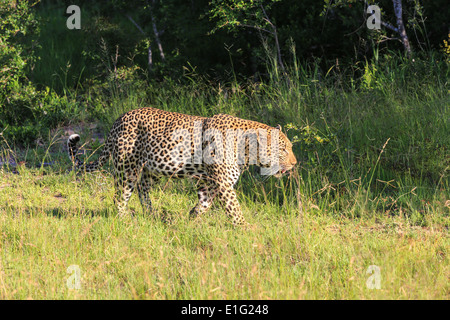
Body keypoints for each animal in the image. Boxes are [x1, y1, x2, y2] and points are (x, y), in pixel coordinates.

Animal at [67, 107, 296, 225]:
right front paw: (245, 230)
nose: (295, 164)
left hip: (153, 168)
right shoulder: (223, 184)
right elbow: (235, 209)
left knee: (142, 188)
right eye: (283, 149)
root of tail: (119, 119)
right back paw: (124, 219)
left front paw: (192, 217)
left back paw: (151, 214)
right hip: (127, 167)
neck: (245, 150)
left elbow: (205, 203)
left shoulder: (208, 182)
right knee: (120, 195)